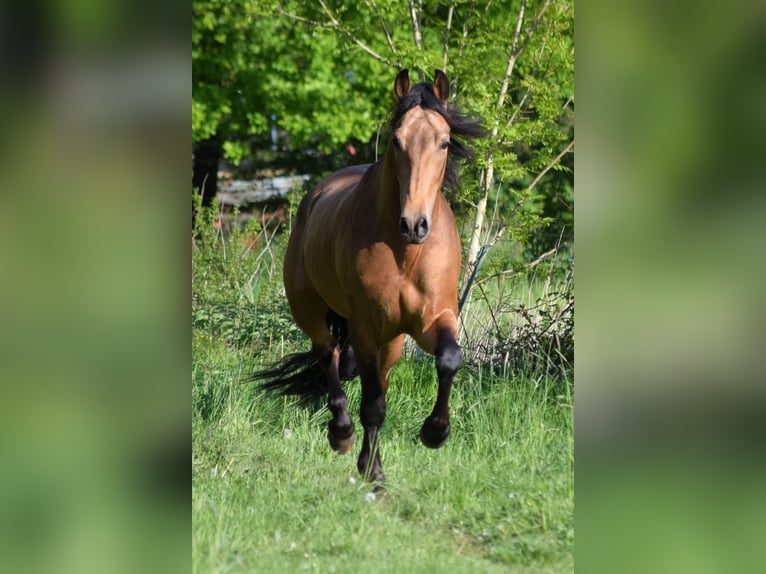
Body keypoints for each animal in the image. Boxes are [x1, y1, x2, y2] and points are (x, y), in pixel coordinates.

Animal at [255, 69, 483, 483]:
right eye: (397, 140)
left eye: (444, 143)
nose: (415, 224)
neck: (405, 253)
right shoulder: (363, 326)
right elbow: (373, 404)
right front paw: (374, 475)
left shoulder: (433, 319)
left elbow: (449, 359)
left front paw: (435, 432)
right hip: (308, 307)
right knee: (327, 352)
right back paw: (341, 434)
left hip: (391, 339)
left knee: (376, 376)